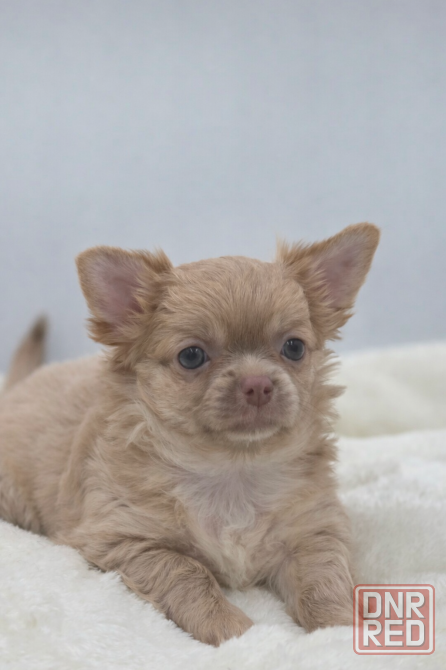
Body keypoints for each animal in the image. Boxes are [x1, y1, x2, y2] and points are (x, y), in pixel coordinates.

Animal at [0, 223, 379, 645]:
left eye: (294, 348)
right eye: (192, 356)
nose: (258, 384)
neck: (233, 469)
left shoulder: (314, 533)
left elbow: (323, 580)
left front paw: (340, 629)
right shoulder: (126, 542)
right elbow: (188, 575)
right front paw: (231, 629)